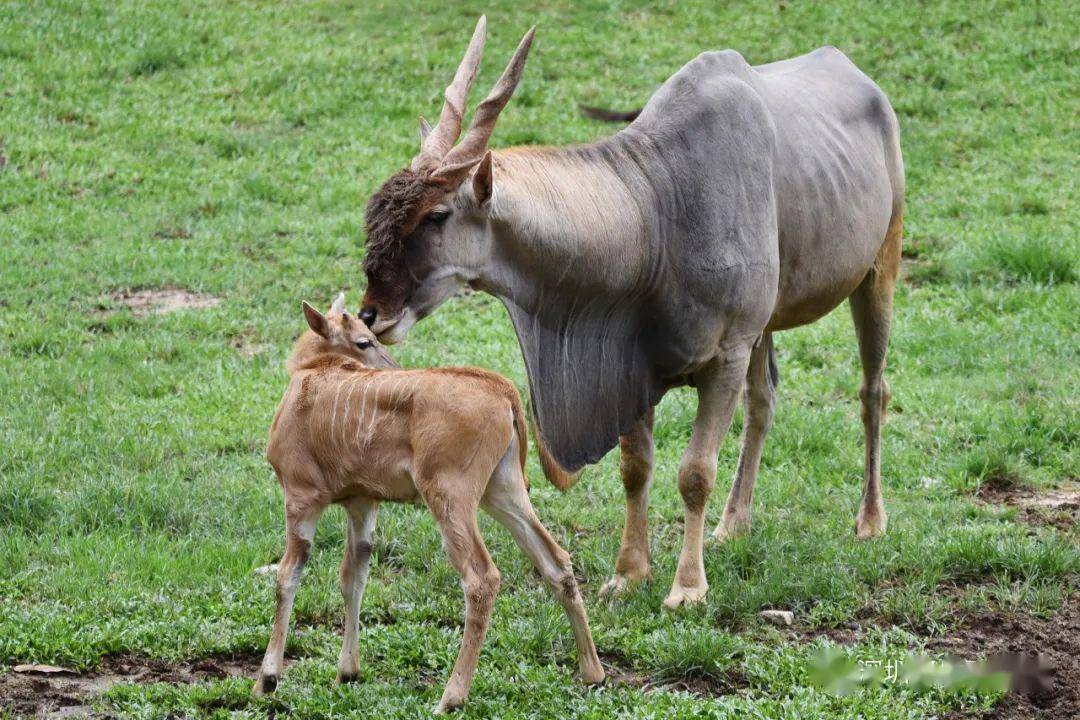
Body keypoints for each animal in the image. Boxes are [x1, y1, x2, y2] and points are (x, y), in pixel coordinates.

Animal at [255, 293, 604, 716]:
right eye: (363, 341)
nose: (393, 365)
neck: (314, 371)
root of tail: (505, 391)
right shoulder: (362, 502)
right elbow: (353, 576)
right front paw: (347, 672)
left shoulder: (302, 495)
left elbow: (288, 574)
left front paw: (267, 679)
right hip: (503, 491)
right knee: (556, 561)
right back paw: (592, 671)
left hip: (449, 494)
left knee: (482, 578)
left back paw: (451, 697)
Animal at [360, 18, 902, 608]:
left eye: (436, 215)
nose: (371, 315)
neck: (655, 210)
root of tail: (860, 78)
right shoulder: (632, 368)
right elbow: (635, 468)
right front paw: (628, 574)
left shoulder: (726, 355)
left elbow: (694, 473)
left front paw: (687, 587)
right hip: (767, 329)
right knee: (764, 401)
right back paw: (733, 524)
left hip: (878, 271)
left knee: (872, 391)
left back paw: (870, 520)